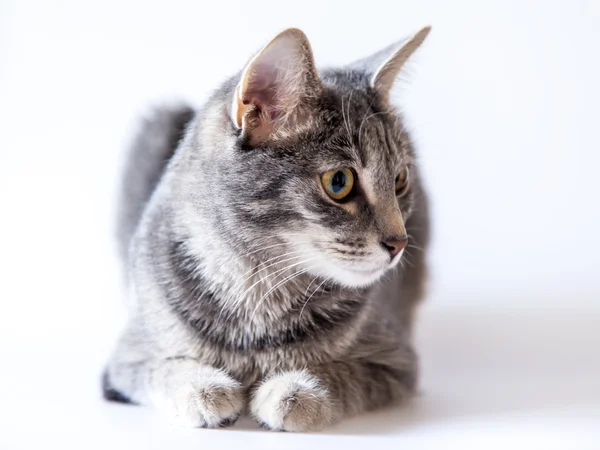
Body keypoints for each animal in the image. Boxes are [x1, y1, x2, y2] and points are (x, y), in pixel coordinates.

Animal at [103, 25, 432, 432]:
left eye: (400, 180)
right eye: (339, 182)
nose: (399, 242)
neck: (257, 286)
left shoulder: (395, 363)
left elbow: (341, 375)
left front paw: (292, 392)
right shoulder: (125, 361)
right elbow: (165, 371)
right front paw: (204, 389)